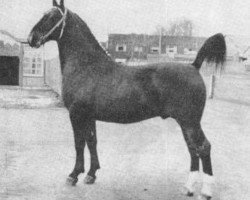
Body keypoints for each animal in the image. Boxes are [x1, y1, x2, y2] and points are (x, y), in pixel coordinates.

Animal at [27, 0, 227, 199]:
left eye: (52, 17)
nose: (31, 38)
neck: (86, 66)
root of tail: (194, 66)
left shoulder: (77, 115)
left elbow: (79, 144)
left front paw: (74, 175)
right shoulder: (89, 117)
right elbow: (91, 142)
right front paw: (91, 174)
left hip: (190, 122)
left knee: (203, 147)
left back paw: (206, 191)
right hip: (186, 123)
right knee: (193, 149)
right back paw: (188, 188)